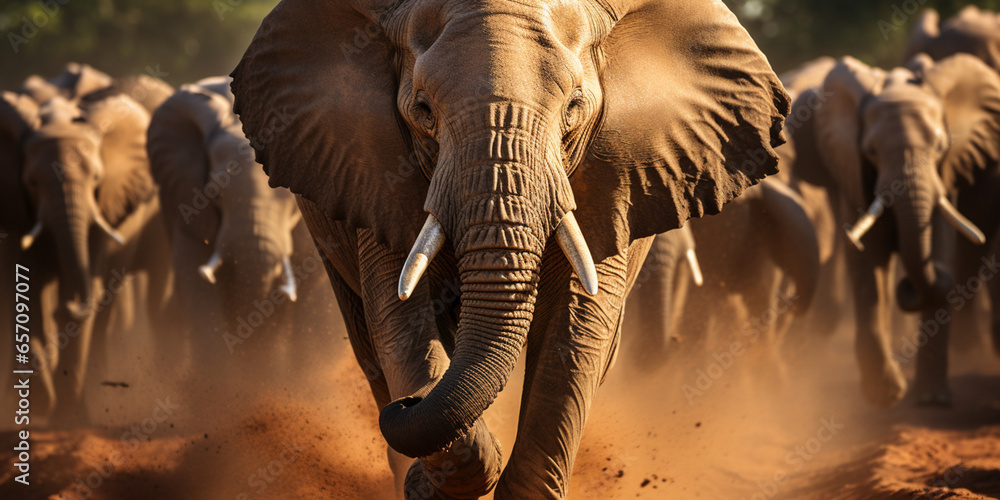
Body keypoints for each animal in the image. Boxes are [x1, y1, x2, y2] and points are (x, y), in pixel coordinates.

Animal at [0, 63, 174, 425]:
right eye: (32, 183)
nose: (68, 303)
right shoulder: (14, 204)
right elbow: (25, 287)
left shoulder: (105, 205)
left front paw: (68, 418)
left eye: (96, 179)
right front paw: (38, 406)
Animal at [230, 0, 789, 498]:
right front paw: (433, 476)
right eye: (422, 111)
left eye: (574, 108)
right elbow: (400, 319)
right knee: (369, 340)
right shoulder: (374, 166)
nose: (407, 404)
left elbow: (576, 335)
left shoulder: (614, 177)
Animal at [789, 54, 1000, 407]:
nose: (907, 287)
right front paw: (884, 396)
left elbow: (939, 247)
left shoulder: (946, 177)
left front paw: (931, 400)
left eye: (941, 147)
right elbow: (869, 262)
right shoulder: (854, 172)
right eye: (871, 151)